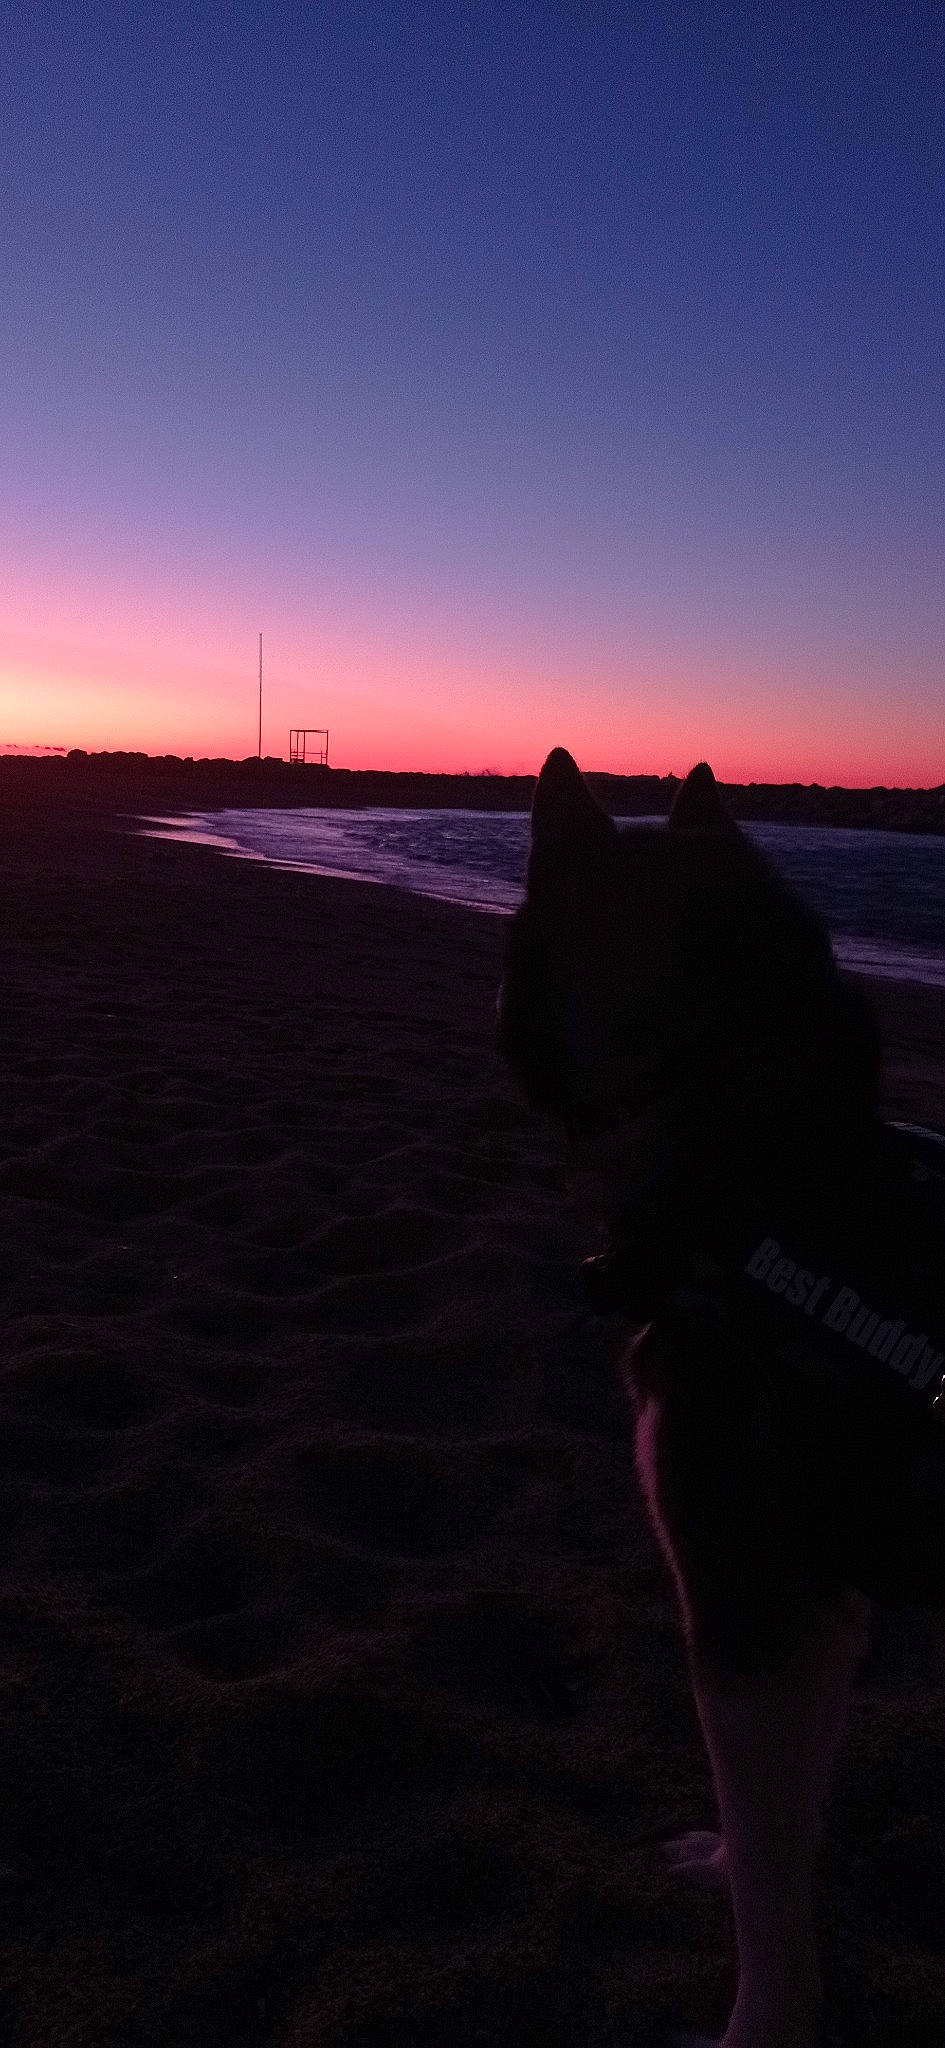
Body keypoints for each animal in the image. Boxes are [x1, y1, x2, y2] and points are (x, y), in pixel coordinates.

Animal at [499, 748, 945, 2048]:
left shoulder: (752, 1608)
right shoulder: (813, 1611)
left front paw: (760, 2024)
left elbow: (769, 1885)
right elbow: (773, 1842)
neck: (773, 1180)